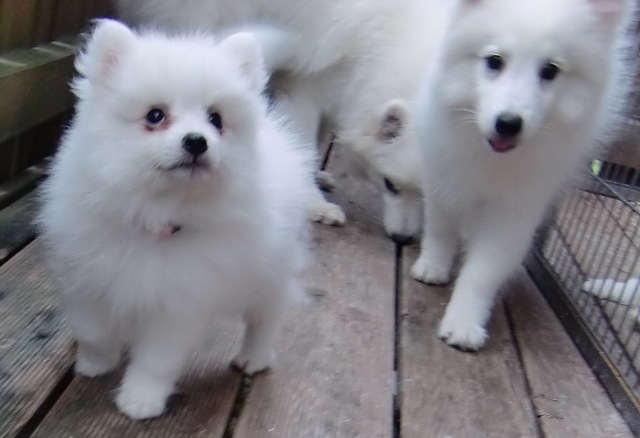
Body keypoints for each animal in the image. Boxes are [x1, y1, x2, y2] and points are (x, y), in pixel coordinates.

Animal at [38, 19, 314, 419]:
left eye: (216, 119)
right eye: (155, 115)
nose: (197, 141)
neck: (157, 215)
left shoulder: (179, 306)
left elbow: (157, 359)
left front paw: (140, 400)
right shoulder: (87, 281)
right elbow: (93, 332)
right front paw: (96, 364)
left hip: (270, 272)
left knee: (266, 318)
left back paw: (253, 357)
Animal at [115, 0, 437, 240]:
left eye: (426, 194)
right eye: (389, 185)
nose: (403, 239)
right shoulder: (306, 85)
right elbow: (306, 143)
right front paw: (314, 202)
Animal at [410, 0, 634, 351]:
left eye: (550, 70)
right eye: (494, 61)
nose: (508, 123)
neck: (491, 156)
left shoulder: (516, 210)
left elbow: (484, 270)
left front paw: (463, 323)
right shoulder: (444, 175)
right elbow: (440, 228)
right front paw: (432, 266)